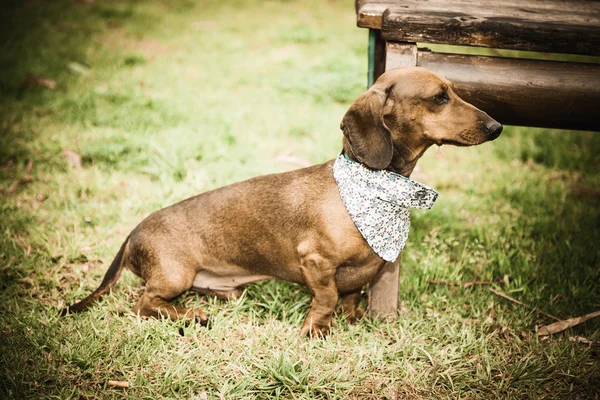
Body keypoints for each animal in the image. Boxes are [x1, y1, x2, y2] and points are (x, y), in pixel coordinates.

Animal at [62, 67, 502, 336]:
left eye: (455, 91)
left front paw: (353, 320)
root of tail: (133, 233)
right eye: (439, 97)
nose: (497, 127)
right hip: (174, 276)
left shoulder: (363, 272)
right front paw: (317, 331)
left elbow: (351, 296)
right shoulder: (315, 261)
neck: (371, 189)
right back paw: (192, 315)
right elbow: (327, 297)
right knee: (144, 303)